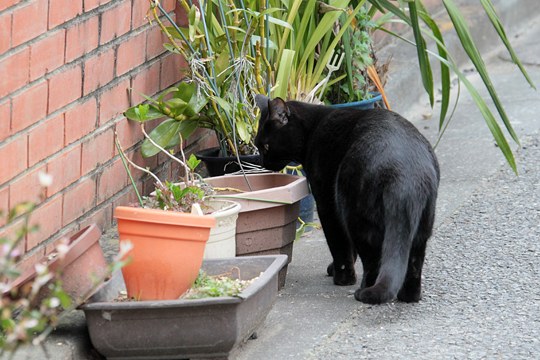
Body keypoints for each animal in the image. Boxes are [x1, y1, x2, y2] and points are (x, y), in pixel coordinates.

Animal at [253, 95, 438, 304]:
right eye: (258, 145)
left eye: (266, 146)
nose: (262, 163)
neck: (312, 128)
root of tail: (403, 173)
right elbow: (349, 248)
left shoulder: (327, 202)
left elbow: (339, 244)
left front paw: (342, 277)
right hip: (422, 227)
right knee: (413, 261)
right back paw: (409, 296)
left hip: (355, 214)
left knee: (373, 261)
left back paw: (363, 291)